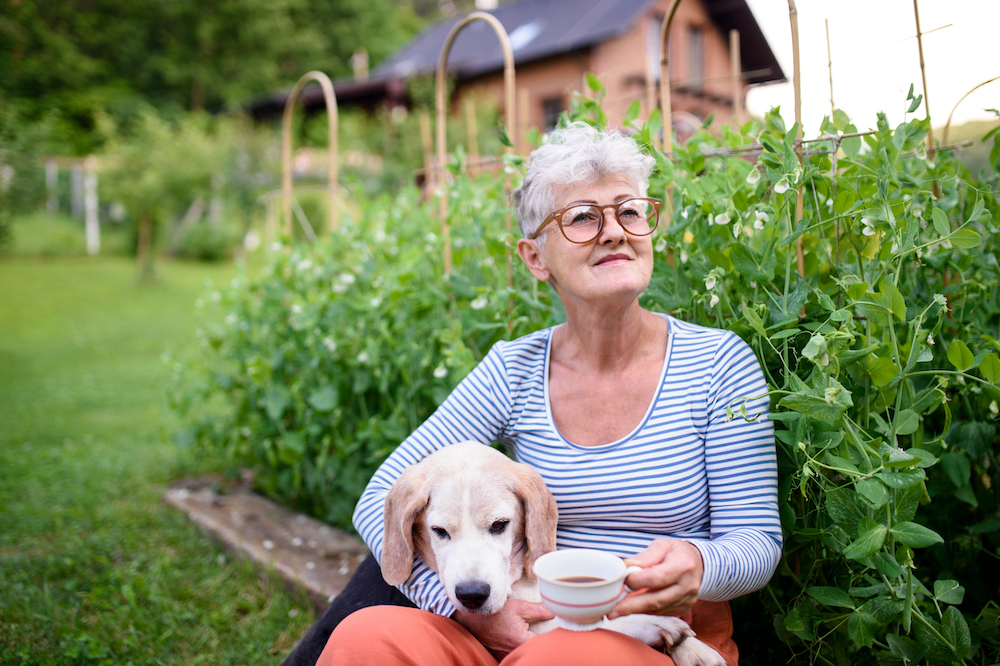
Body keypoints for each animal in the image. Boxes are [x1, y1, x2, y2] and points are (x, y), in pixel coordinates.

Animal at [378, 438, 724, 660]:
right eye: (439, 532)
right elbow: (590, 624)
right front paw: (650, 625)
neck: (520, 582)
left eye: (500, 525)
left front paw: (696, 650)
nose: (472, 595)